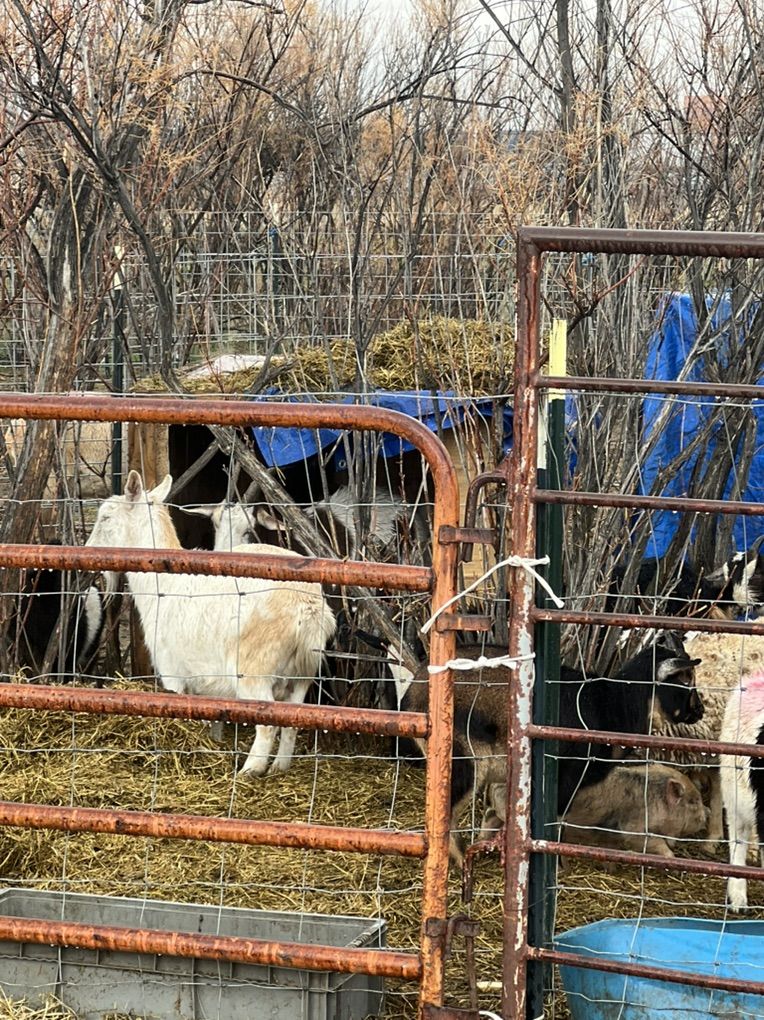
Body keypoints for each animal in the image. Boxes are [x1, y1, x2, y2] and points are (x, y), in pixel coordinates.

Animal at [85, 470, 336, 776]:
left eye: (105, 517)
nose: (87, 551)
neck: (164, 584)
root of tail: (309, 608)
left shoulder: (172, 671)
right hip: (302, 675)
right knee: (293, 723)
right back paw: (279, 768)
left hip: (254, 671)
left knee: (267, 725)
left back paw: (249, 771)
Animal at [401, 642, 703, 865]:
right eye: (685, 680)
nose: (700, 711)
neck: (611, 704)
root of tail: (413, 693)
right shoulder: (567, 776)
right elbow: (554, 821)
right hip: (465, 760)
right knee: (444, 813)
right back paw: (459, 859)